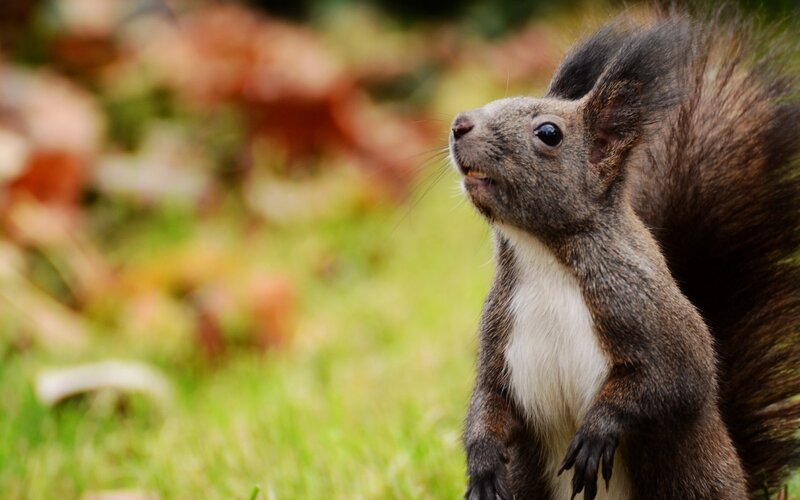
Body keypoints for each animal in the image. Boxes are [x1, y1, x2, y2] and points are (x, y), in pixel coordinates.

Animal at [448, 10, 800, 500]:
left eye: (548, 133)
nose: (459, 124)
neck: (542, 258)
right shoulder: (499, 337)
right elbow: (489, 400)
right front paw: (481, 463)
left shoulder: (648, 312)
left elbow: (671, 381)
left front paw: (597, 431)